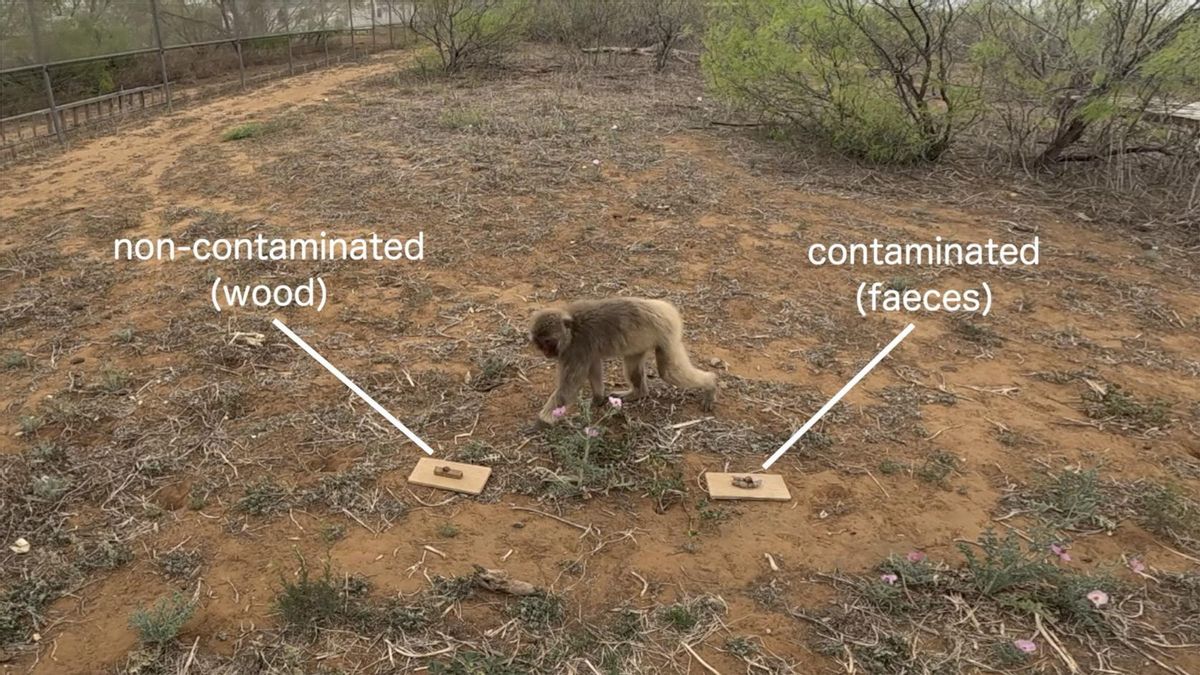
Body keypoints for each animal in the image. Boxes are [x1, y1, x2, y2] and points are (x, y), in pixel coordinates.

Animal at [529, 297, 717, 426]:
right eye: (540, 344)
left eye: (548, 342)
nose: (546, 352)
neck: (572, 328)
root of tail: (665, 307)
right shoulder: (583, 350)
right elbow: (594, 365)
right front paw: (598, 398)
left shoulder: (575, 349)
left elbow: (568, 388)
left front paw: (541, 422)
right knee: (634, 365)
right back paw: (638, 393)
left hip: (667, 331)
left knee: (669, 372)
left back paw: (711, 384)